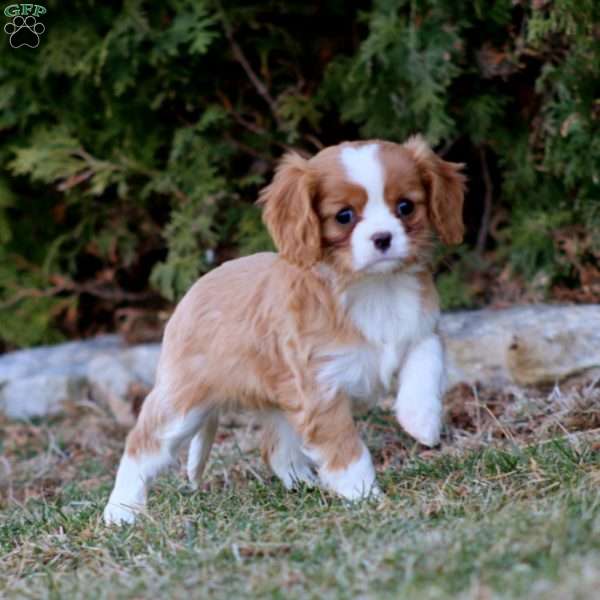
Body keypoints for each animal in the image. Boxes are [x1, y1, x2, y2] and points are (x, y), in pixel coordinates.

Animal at [103, 137, 464, 524]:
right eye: (344, 216)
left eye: (405, 207)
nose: (383, 238)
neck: (373, 287)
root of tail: (193, 290)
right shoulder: (320, 389)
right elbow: (345, 449)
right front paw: (364, 495)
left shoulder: (422, 330)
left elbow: (426, 365)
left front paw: (421, 421)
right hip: (182, 403)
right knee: (141, 446)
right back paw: (121, 511)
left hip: (281, 402)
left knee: (276, 449)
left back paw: (306, 484)